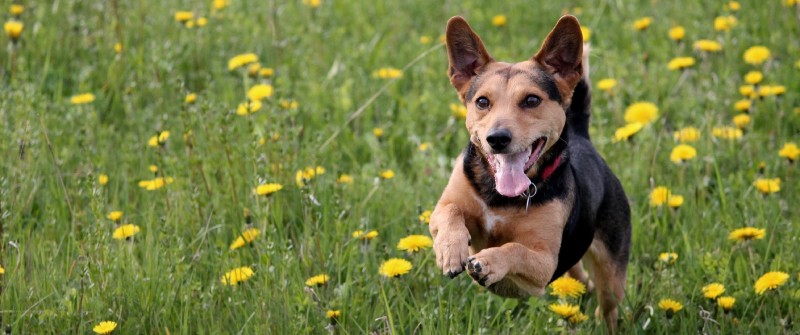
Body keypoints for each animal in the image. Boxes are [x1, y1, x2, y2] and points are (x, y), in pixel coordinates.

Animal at [432, 14, 632, 332]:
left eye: (531, 100)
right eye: (482, 102)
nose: (497, 138)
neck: (501, 197)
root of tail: (581, 137)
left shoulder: (545, 263)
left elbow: (515, 249)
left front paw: (489, 263)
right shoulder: (443, 207)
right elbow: (450, 212)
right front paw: (450, 250)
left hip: (612, 272)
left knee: (608, 305)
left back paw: (603, 322)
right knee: (581, 277)